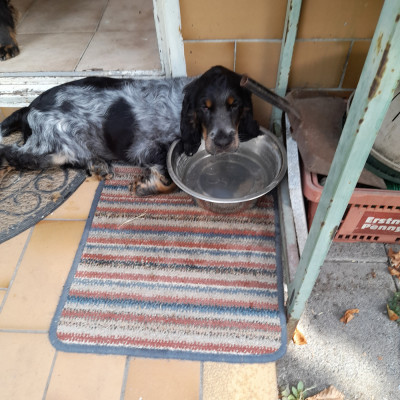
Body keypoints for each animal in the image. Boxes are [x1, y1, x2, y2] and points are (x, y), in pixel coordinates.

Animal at [0, 65, 260, 195]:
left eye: (235, 105)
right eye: (204, 108)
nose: (224, 142)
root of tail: (29, 108)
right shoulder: (143, 148)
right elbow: (170, 177)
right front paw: (146, 186)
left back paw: (98, 165)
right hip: (53, 141)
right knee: (16, 154)